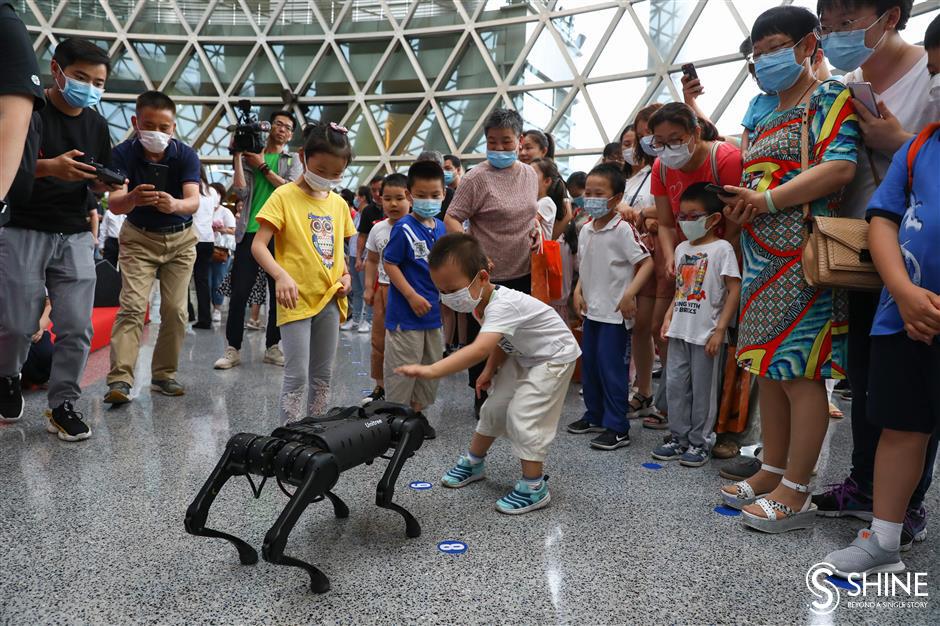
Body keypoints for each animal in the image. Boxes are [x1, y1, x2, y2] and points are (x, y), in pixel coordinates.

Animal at [186, 400, 426, 588]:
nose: (428, 428)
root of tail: (282, 447)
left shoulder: (322, 468)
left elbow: (383, 493)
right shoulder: (322, 465)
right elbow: (384, 493)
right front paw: (412, 526)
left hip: (242, 447)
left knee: (195, 518)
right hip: (291, 457)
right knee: (272, 542)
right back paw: (315, 578)